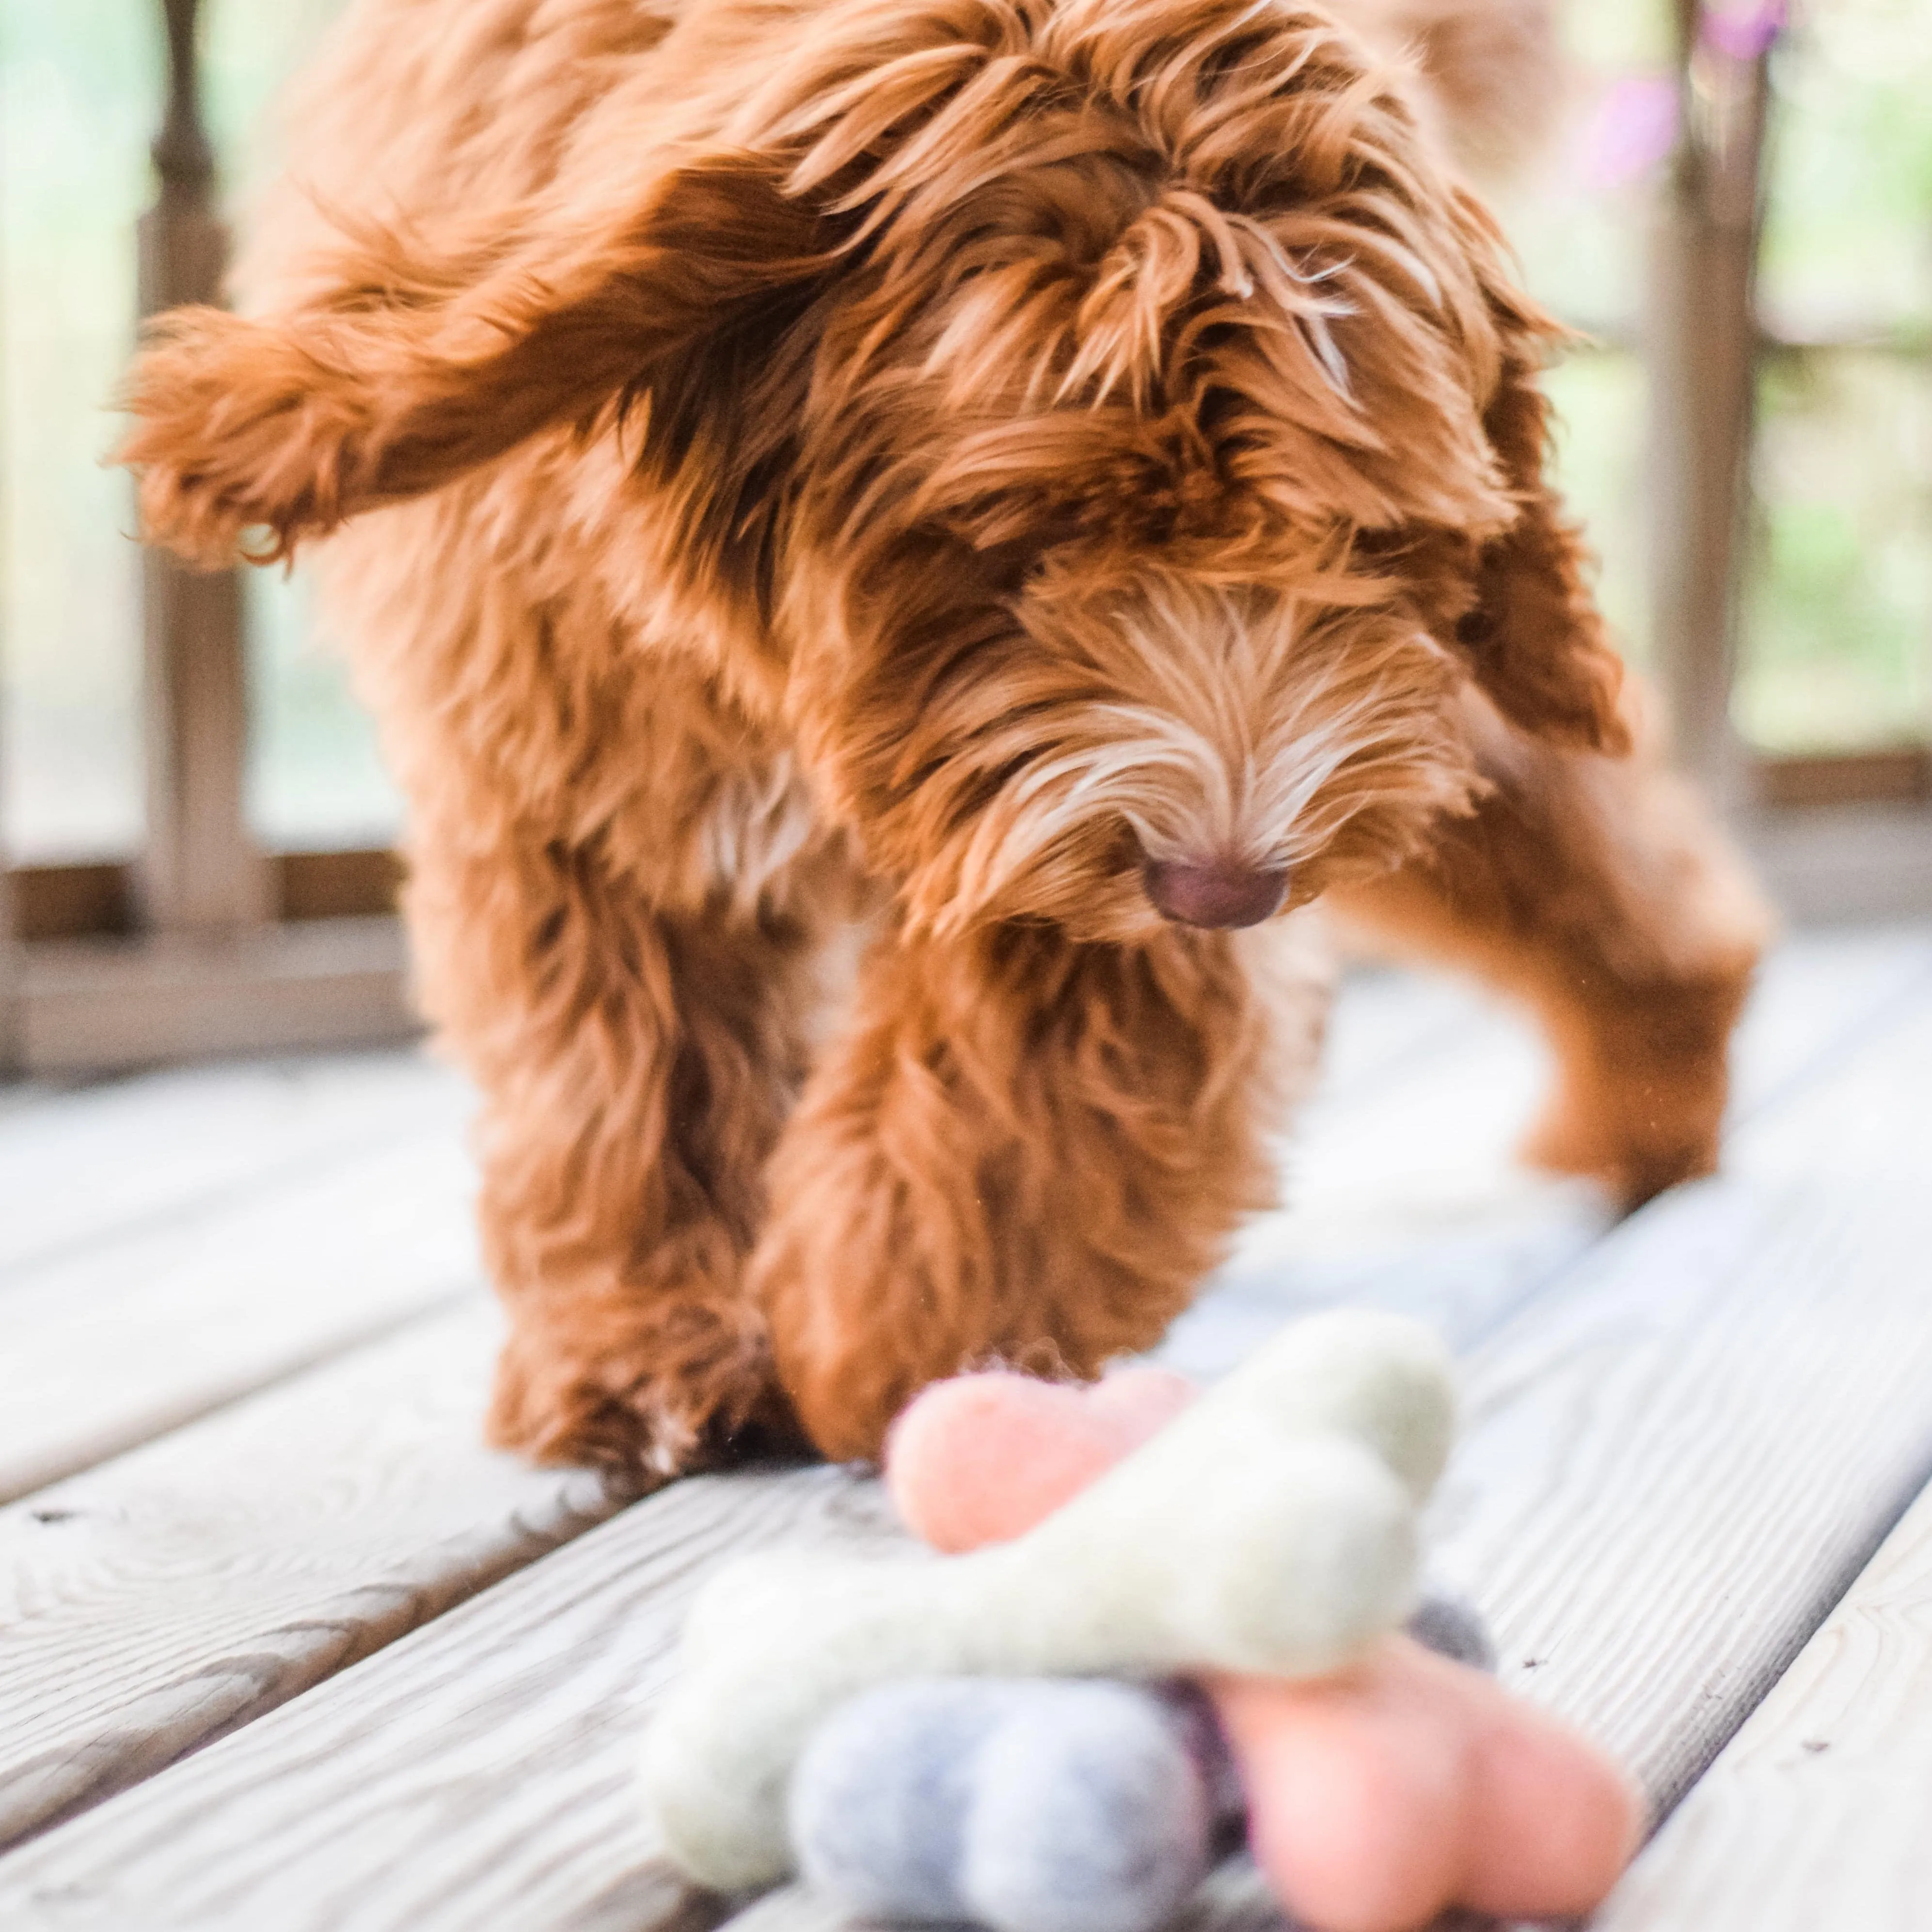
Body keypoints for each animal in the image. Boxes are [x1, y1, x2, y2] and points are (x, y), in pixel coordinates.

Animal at [117, 0, 1770, 1468]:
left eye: (1358, 539)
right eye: (1029, 530)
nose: (1228, 887)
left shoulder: (1067, 857)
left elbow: (1012, 1107)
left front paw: (878, 1336)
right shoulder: (575, 789)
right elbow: (617, 1081)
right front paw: (643, 1345)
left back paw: (1655, 1091)